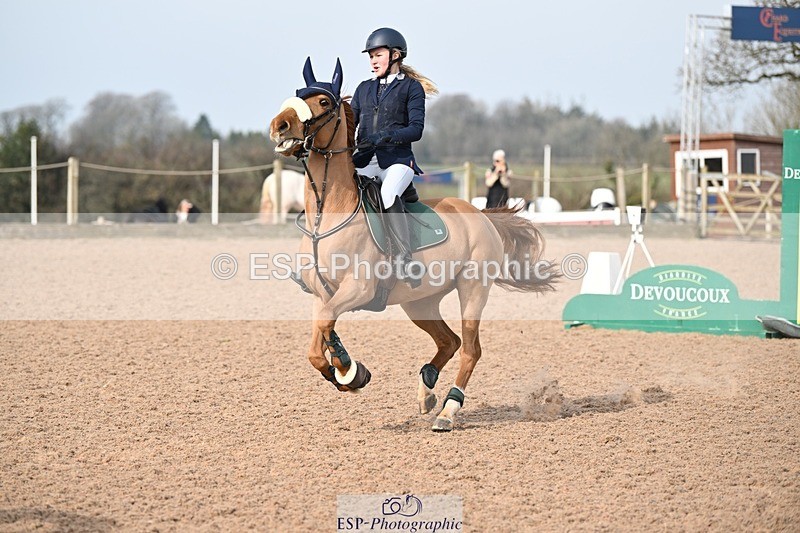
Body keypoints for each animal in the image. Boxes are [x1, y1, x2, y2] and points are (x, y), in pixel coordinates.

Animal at [268, 59, 557, 431]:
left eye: (323, 102)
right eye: (297, 94)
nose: (278, 126)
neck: (327, 216)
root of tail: (480, 214)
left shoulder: (358, 289)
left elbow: (325, 329)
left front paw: (349, 371)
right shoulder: (322, 294)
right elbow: (319, 341)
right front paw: (349, 372)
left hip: (473, 288)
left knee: (470, 349)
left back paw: (448, 411)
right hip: (420, 302)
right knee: (449, 341)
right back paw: (428, 390)